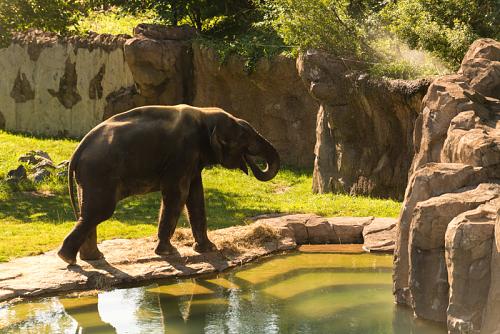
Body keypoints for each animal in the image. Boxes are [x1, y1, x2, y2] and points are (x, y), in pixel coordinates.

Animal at [57, 103, 282, 264]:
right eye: (244, 138)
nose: (253, 163)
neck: (204, 114)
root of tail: (78, 149)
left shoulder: (193, 160)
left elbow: (195, 196)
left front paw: (208, 249)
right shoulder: (182, 153)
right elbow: (178, 194)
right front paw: (169, 252)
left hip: (89, 177)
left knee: (88, 213)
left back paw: (91, 258)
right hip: (99, 172)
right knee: (99, 212)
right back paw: (68, 258)